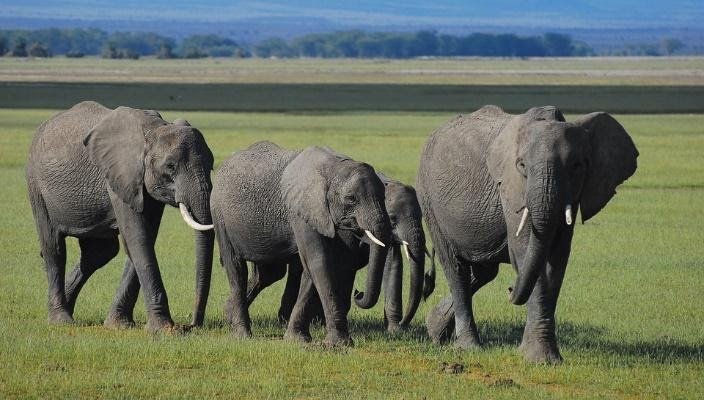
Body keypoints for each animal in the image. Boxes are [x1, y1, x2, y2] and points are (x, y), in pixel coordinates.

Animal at [26, 101, 215, 332]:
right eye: (170, 167)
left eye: (212, 163)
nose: (191, 325)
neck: (154, 130)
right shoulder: (120, 175)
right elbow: (138, 237)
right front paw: (165, 330)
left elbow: (144, 238)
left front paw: (119, 325)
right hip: (36, 185)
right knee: (54, 248)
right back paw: (61, 320)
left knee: (99, 253)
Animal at [210, 141, 393, 346]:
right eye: (351, 199)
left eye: (384, 196)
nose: (358, 293)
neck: (334, 168)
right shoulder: (301, 211)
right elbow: (318, 261)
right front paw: (340, 344)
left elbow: (318, 267)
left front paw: (297, 339)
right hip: (219, 214)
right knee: (236, 268)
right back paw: (242, 335)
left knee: (268, 273)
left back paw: (229, 315)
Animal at [244, 173, 434, 333]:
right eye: (393, 218)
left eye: (422, 217)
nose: (359, 293)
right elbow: (347, 266)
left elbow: (392, 265)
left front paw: (395, 331)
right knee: (272, 274)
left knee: (272, 274)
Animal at [416, 105, 638, 363]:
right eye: (522, 166)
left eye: (576, 166)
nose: (510, 289)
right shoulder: (511, 187)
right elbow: (524, 251)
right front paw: (538, 359)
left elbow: (557, 258)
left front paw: (548, 358)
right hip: (429, 200)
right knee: (456, 269)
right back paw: (468, 347)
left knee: (484, 272)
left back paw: (436, 330)